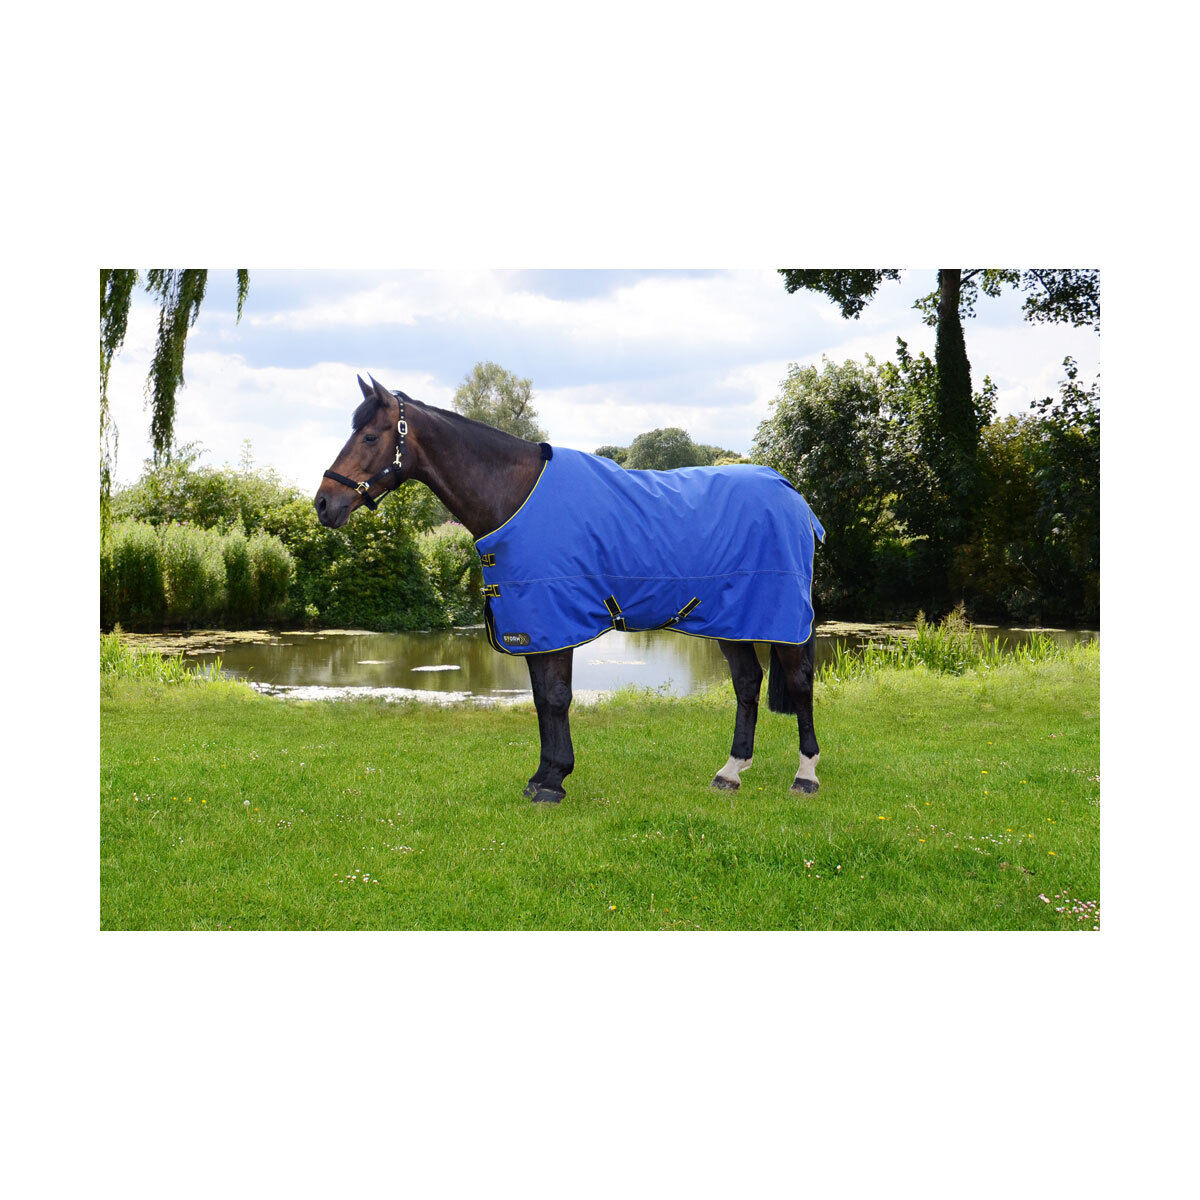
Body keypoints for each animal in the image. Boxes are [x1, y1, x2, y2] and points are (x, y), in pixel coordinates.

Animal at [315, 375, 823, 805]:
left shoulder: (554, 620)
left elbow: (556, 698)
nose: (323, 503)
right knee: (747, 683)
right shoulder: (532, 626)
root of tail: (790, 491)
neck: (515, 495)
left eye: (370, 436)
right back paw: (730, 773)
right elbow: (542, 699)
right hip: (729, 619)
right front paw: (544, 776)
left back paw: (805, 776)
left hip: (782, 620)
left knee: (799, 683)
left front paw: (552, 783)